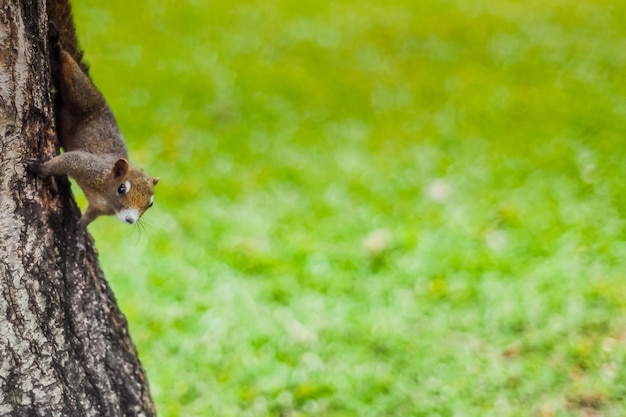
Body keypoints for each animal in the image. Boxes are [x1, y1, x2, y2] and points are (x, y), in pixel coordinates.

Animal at [30, 0, 160, 226]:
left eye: (150, 204)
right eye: (122, 188)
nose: (130, 220)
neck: (106, 193)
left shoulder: (99, 209)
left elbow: (89, 216)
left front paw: (78, 226)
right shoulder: (88, 166)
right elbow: (68, 160)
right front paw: (40, 169)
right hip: (83, 96)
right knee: (69, 70)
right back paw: (56, 47)